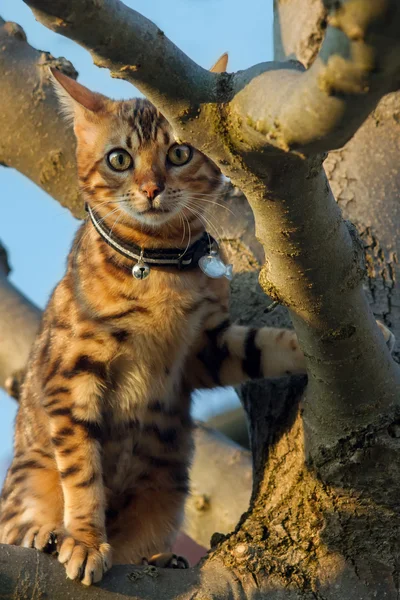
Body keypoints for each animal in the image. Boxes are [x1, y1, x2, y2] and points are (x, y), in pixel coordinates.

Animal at [0, 62, 394, 584]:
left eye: (179, 153)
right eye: (119, 159)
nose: (151, 188)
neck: (162, 267)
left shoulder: (202, 349)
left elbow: (265, 343)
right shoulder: (74, 371)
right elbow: (83, 473)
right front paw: (84, 541)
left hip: (165, 489)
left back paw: (156, 557)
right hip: (30, 477)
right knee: (19, 521)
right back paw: (47, 536)